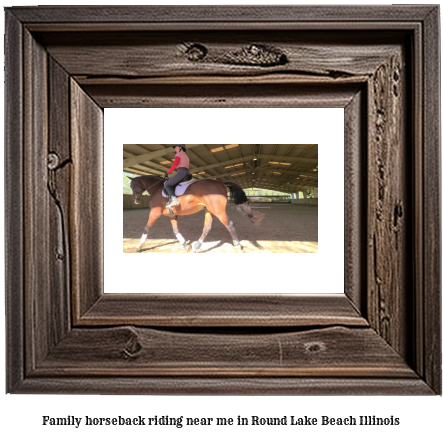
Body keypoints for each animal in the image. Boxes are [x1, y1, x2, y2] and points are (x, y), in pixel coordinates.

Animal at [126, 173, 262, 252]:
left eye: (133, 185)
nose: (135, 201)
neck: (157, 189)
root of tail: (221, 182)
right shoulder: (172, 215)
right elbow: (175, 231)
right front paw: (186, 246)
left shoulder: (154, 213)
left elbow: (146, 228)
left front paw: (138, 246)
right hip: (209, 211)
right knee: (207, 228)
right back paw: (196, 246)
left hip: (218, 211)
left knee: (230, 225)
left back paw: (238, 246)